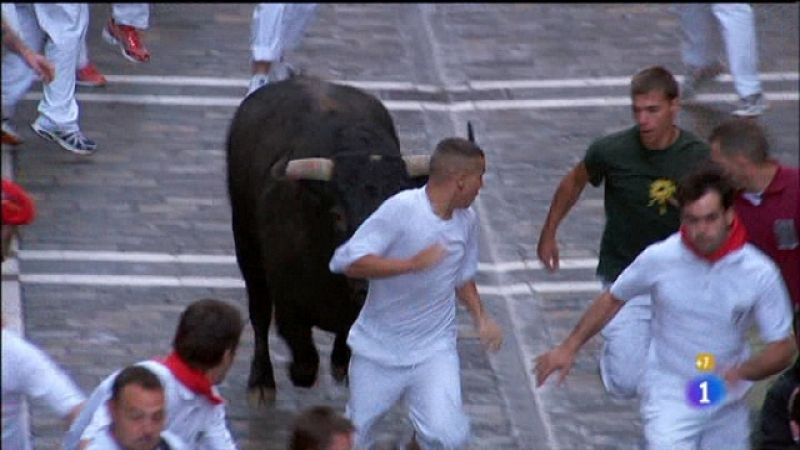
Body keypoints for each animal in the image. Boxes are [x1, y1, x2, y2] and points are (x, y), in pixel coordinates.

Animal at [225, 77, 434, 404]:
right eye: (337, 215)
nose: (368, 278)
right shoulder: (288, 300)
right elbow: (302, 352)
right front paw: (297, 372)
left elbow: (347, 342)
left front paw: (341, 365)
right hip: (247, 247)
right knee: (259, 312)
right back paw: (261, 382)